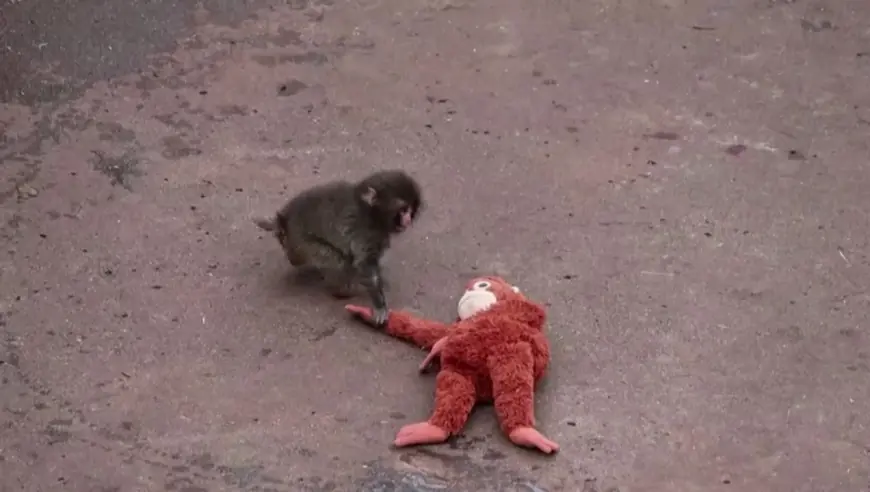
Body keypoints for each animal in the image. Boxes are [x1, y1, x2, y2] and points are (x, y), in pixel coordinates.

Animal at [253, 169, 423, 327]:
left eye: (410, 209)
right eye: (402, 210)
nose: (407, 220)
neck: (371, 212)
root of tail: (285, 220)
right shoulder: (367, 232)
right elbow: (364, 265)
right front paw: (379, 305)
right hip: (299, 244)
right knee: (336, 261)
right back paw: (341, 291)